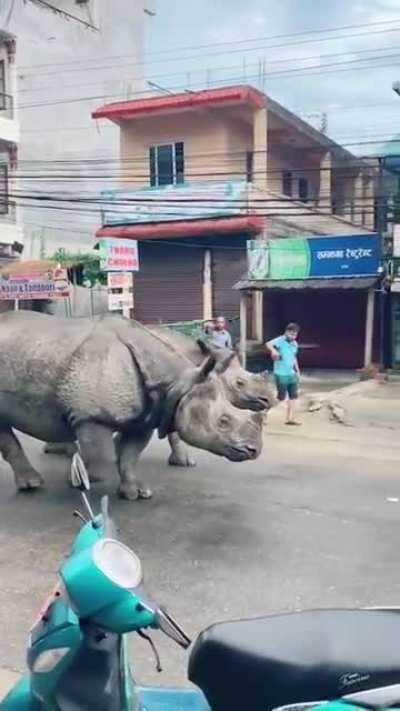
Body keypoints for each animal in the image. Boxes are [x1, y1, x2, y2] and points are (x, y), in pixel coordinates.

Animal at [0, 312, 263, 500]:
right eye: (223, 421)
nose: (254, 450)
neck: (177, 383)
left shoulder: (146, 418)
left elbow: (130, 456)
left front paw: (135, 493)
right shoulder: (90, 416)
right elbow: (102, 456)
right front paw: (78, 479)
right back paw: (33, 484)